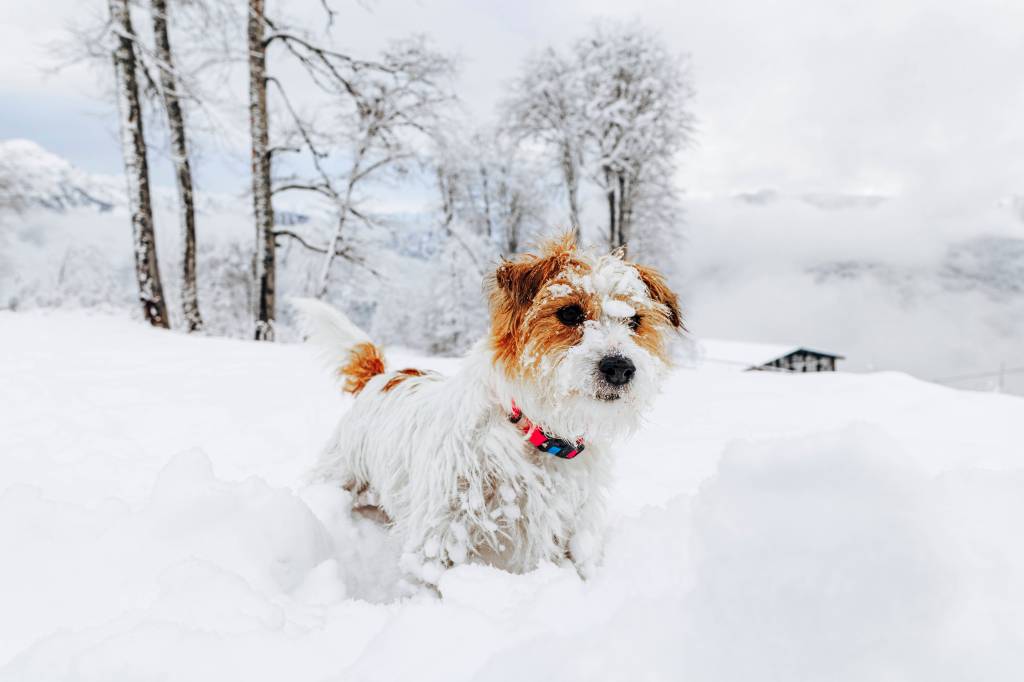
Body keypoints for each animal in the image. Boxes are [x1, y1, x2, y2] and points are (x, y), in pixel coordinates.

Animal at [294, 235, 679, 585]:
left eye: (634, 321)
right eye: (569, 313)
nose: (620, 368)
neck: (536, 432)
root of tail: (384, 375)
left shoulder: (569, 531)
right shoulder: (439, 535)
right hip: (339, 475)